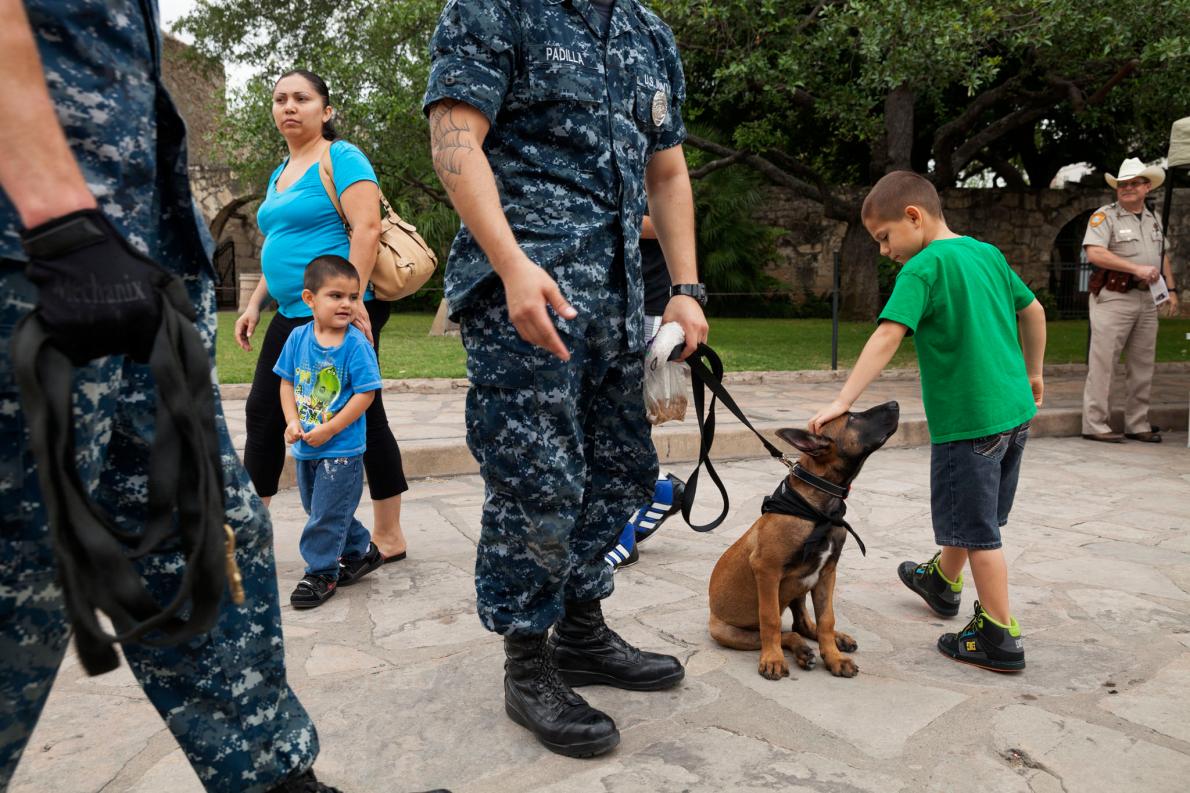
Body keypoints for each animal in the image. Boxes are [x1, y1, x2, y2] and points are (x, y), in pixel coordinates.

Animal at [709, 402, 894, 681]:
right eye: (853, 418)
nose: (895, 404)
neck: (819, 509)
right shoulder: (767, 570)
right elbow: (771, 619)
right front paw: (772, 659)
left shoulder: (827, 573)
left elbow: (827, 619)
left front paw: (834, 658)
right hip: (729, 632)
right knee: (787, 632)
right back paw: (799, 651)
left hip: (802, 586)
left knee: (803, 624)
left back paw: (833, 640)